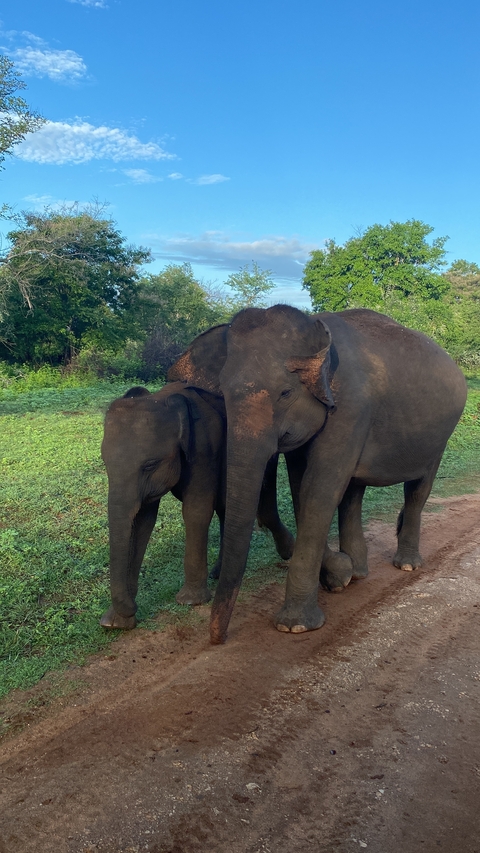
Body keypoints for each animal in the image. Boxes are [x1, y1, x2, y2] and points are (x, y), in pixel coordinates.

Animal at [100, 382, 294, 629]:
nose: (133, 607)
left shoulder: (204, 448)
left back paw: (287, 550)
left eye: (150, 465)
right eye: (105, 463)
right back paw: (218, 574)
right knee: (226, 510)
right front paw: (114, 623)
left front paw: (191, 601)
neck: (165, 398)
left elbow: (196, 510)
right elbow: (143, 521)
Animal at [168, 305, 467, 644]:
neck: (312, 327)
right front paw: (339, 574)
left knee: (418, 489)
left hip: (442, 433)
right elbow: (303, 487)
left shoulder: (350, 407)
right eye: (224, 394)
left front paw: (295, 625)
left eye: (285, 393)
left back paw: (406, 566)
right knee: (353, 493)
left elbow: (319, 490)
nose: (217, 639)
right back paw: (359, 571)